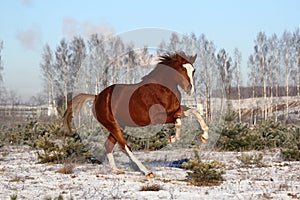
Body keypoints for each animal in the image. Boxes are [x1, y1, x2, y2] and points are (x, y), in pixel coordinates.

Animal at [63, 52, 209, 177]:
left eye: (193, 70)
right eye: (182, 69)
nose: (190, 89)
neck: (162, 89)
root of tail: (96, 97)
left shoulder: (176, 110)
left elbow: (194, 112)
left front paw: (204, 137)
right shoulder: (157, 118)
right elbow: (178, 121)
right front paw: (172, 139)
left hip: (119, 125)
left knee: (108, 145)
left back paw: (117, 170)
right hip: (112, 125)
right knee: (125, 147)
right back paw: (147, 172)